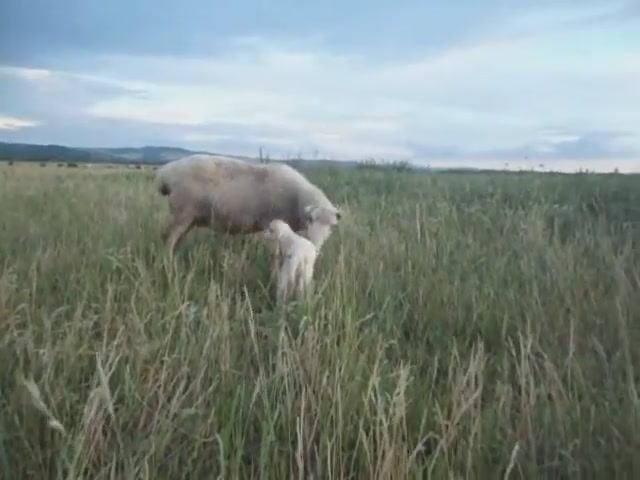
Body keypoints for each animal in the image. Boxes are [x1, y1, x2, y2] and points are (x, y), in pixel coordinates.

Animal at [155, 154, 341, 256]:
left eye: (332, 227)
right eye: (311, 221)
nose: (316, 247)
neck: (296, 198)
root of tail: (166, 172)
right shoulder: (272, 224)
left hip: (189, 217)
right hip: (182, 213)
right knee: (168, 239)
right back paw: (168, 264)